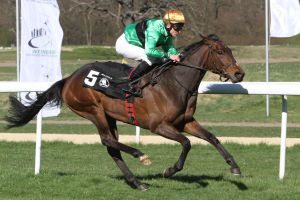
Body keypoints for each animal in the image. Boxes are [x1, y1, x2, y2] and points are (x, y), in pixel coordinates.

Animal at [4, 34, 245, 191]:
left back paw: (137, 182)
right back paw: (140, 155)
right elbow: (186, 143)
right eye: (220, 51)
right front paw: (170, 170)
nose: (239, 74)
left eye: (231, 50)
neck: (173, 84)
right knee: (107, 141)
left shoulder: (185, 121)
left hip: (109, 116)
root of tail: (68, 79)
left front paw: (234, 167)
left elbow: (212, 137)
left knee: (112, 148)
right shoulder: (159, 126)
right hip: (94, 111)